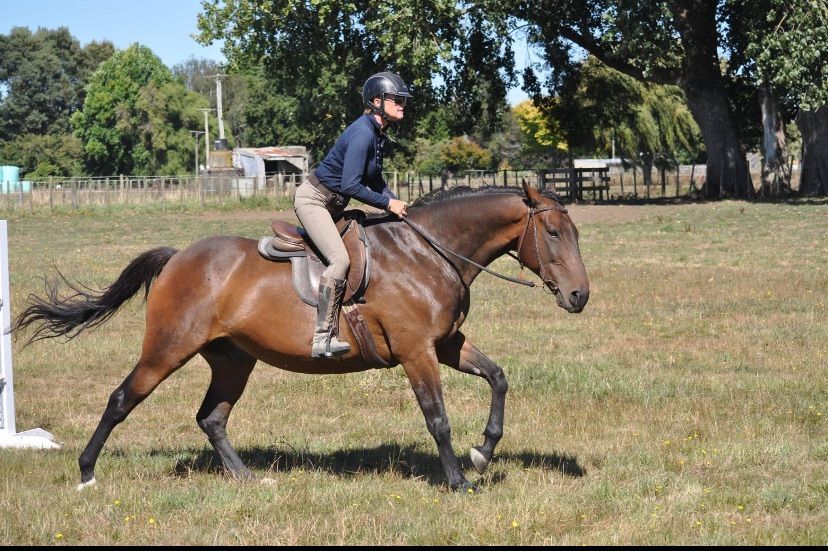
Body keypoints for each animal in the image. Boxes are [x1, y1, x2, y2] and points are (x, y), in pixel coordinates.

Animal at [12, 181, 588, 492]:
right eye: (553, 233)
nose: (580, 296)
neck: (429, 251)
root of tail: (177, 257)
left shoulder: (444, 344)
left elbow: (497, 378)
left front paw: (483, 452)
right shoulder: (416, 352)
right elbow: (438, 418)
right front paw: (458, 480)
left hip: (233, 360)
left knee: (212, 418)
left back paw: (246, 478)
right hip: (168, 348)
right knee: (122, 398)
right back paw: (87, 473)